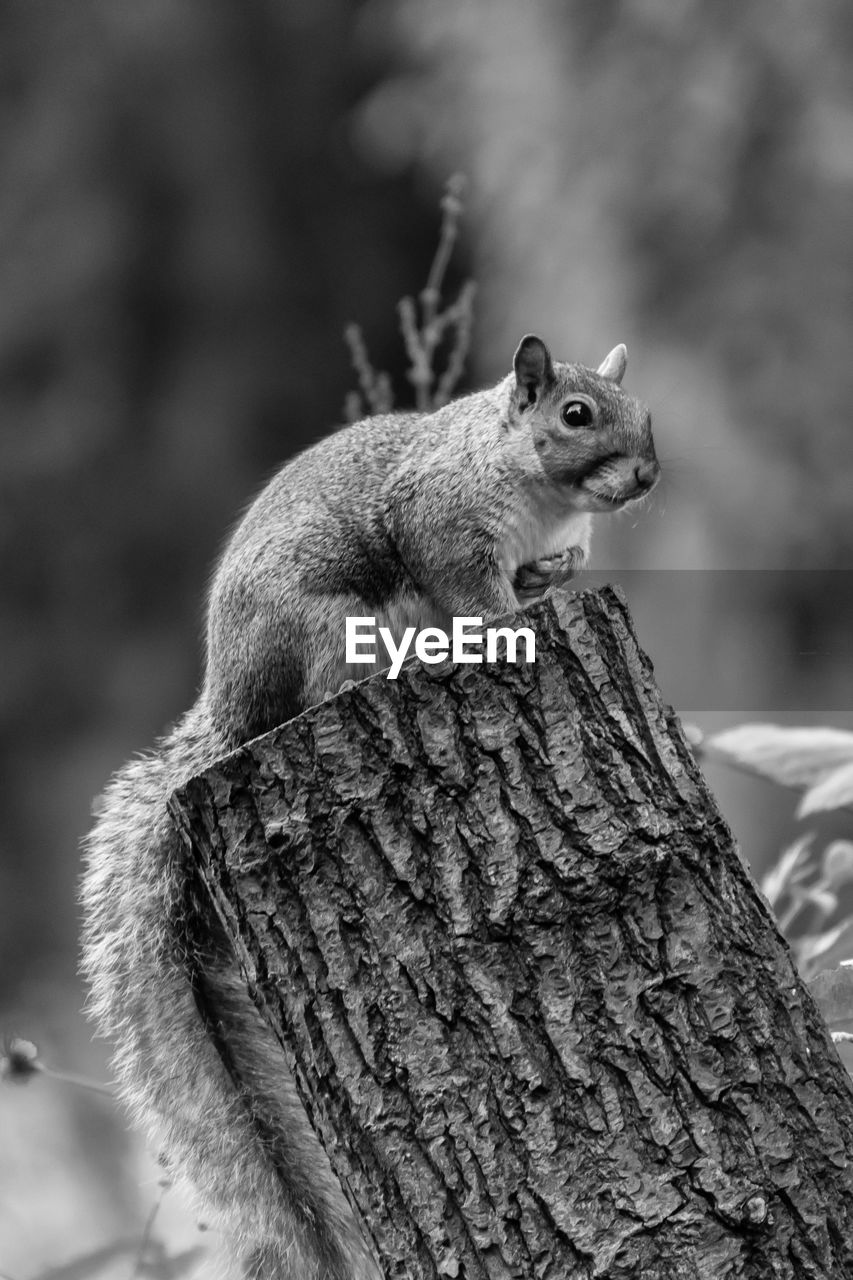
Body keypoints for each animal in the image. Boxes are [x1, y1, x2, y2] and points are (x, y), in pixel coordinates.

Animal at [81, 335, 655, 1274]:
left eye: (643, 414)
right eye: (575, 416)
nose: (643, 475)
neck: (532, 489)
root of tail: (232, 708)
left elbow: (544, 572)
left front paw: (556, 577)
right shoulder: (441, 523)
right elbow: (469, 589)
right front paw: (506, 620)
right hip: (324, 625)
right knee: (320, 687)